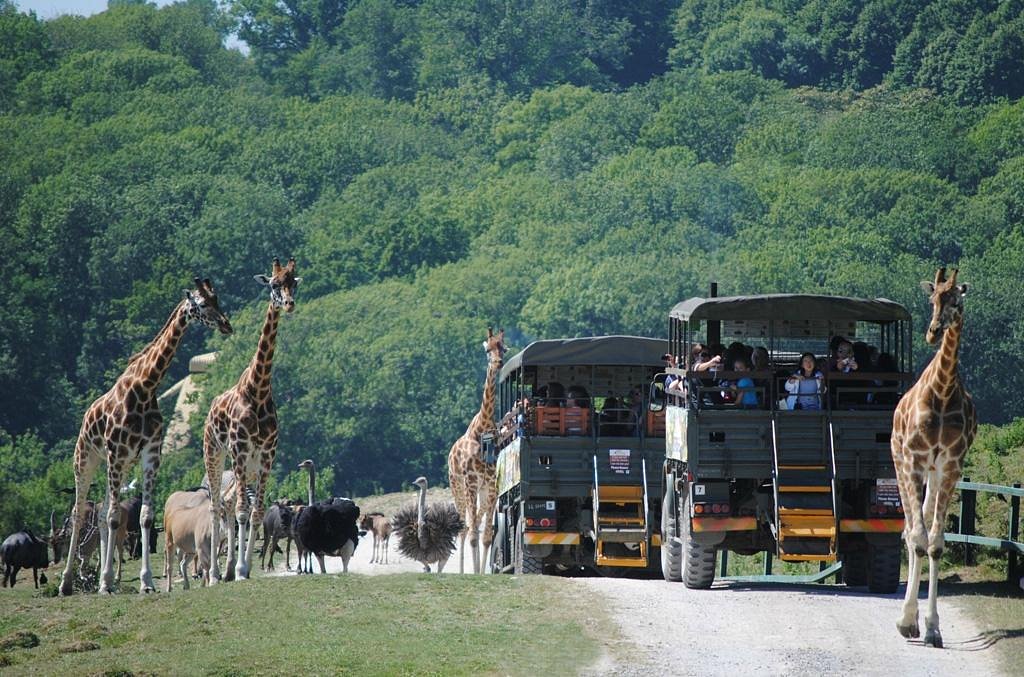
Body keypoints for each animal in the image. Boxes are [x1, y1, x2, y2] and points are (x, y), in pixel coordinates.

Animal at [58, 276, 232, 594]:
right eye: (202, 305)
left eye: (217, 300)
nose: (226, 324)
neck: (145, 387)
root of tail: (86, 416)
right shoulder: (117, 452)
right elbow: (115, 518)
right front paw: (109, 583)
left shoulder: (149, 454)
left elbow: (145, 517)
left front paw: (146, 582)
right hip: (87, 458)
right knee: (80, 513)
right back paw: (67, 584)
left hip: (121, 465)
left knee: (101, 513)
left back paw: (104, 580)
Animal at [202, 256, 299, 577]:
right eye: (273, 284)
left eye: (293, 282)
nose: (289, 303)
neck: (258, 390)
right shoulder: (240, 449)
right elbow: (243, 510)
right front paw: (241, 568)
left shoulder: (267, 454)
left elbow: (255, 512)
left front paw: (244, 567)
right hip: (216, 454)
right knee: (218, 504)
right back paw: (215, 573)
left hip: (250, 466)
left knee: (230, 501)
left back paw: (230, 567)